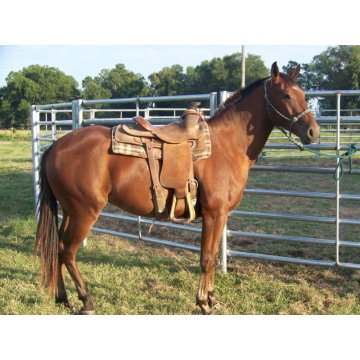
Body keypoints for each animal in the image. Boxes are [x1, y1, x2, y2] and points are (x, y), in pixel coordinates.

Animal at [35, 63, 320, 314]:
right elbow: (207, 258)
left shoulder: (220, 216)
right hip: (84, 213)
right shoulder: (215, 214)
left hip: (70, 212)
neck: (226, 146)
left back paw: (63, 298)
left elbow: (211, 256)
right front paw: (204, 303)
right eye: (286, 95)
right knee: (68, 251)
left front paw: (212, 299)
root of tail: (55, 147)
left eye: (303, 94)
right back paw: (86, 301)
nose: (313, 132)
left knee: (57, 249)